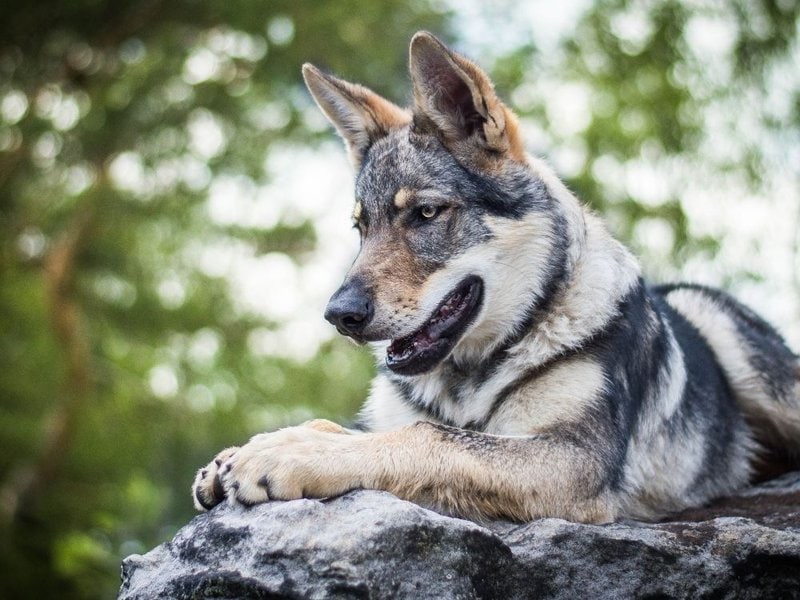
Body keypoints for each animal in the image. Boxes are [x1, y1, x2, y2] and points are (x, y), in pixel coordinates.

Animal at [194, 30, 800, 524]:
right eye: (360, 227)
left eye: (426, 214)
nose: (338, 314)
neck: (471, 380)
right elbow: (357, 428)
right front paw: (248, 450)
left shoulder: (571, 460)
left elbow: (429, 438)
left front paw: (286, 454)